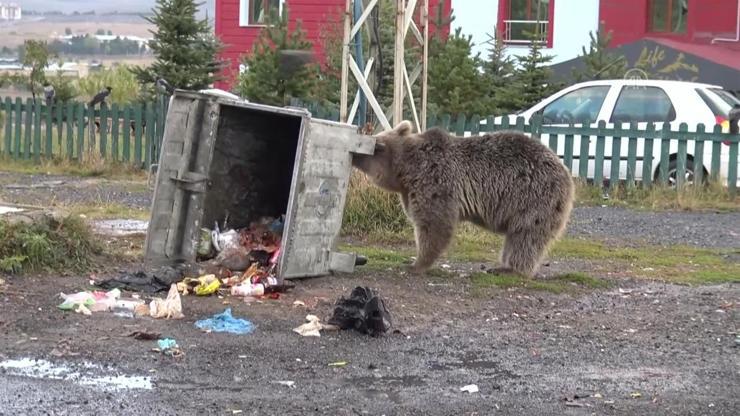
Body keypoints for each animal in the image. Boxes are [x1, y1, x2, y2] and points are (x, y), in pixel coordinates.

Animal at [354, 120, 580, 276]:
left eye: (377, 145)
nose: (356, 155)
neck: (407, 172)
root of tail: (566, 170)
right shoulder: (409, 192)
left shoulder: (436, 183)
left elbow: (434, 225)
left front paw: (416, 264)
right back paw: (502, 265)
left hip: (534, 197)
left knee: (526, 236)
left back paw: (510, 269)